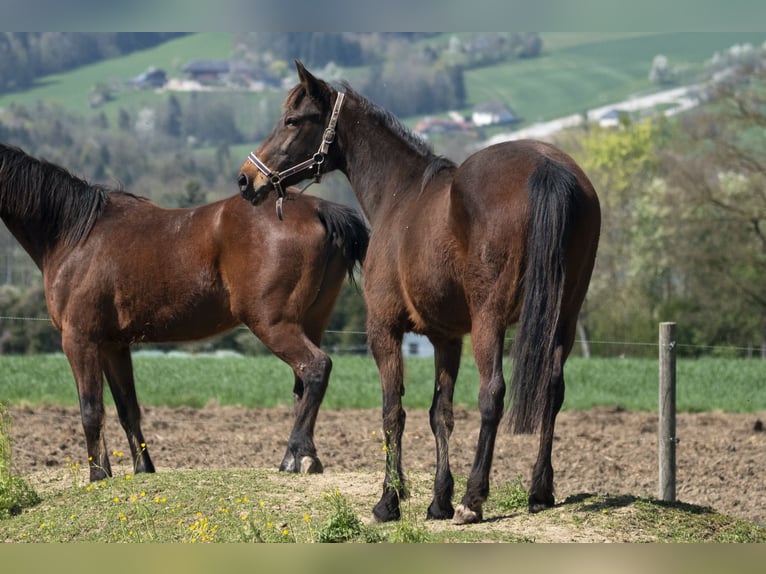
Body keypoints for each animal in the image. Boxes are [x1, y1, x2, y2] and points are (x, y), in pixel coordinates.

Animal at [0, 142, 368, 482]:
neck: (76, 236)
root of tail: (319, 208)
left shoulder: (80, 340)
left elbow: (91, 410)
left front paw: (98, 477)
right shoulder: (113, 346)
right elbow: (127, 409)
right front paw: (143, 470)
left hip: (272, 323)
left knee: (315, 368)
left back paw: (296, 458)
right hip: (310, 322)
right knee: (302, 384)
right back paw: (302, 457)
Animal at [237, 61, 601, 525]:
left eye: (292, 120)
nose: (246, 179)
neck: (401, 193)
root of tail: (547, 166)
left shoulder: (385, 330)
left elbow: (393, 413)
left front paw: (390, 500)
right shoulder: (447, 338)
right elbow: (439, 414)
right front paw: (438, 499)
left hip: (490, 320)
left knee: (492, 394)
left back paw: (473, 499)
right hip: (562, 318)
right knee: (552, 391)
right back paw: (539, 491)